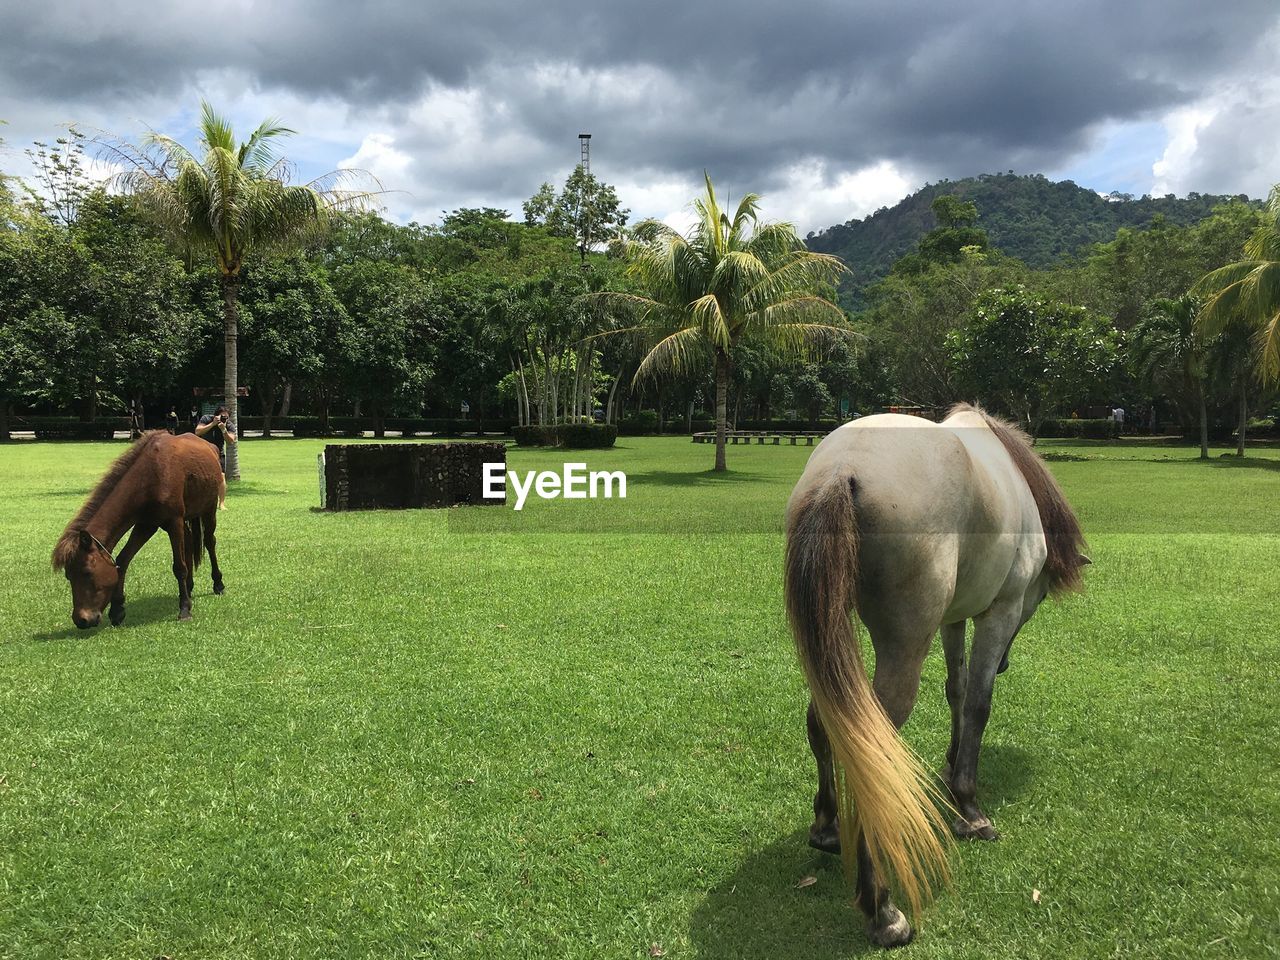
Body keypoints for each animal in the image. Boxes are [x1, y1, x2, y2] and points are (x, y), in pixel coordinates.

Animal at [51, 432, 226, 627]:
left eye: (87, 572)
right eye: (68, 575)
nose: (81, 620)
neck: (150, 476)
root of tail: (210, 446)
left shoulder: (173, 522)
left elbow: (179, 567)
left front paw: (185, 609)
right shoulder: (146, 525)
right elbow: (123, 560)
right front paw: (117, 609)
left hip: (208, 509)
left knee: (209, 542)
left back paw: (218, 584)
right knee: (188, 542)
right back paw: (188, 586)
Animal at [783, 404, 1085, 947]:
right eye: (1042, 596)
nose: (1007, 661)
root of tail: (843, 467)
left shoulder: (953, 618)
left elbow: (957, 689)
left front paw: (950, 763)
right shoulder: (1000, 612)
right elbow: (979, 702)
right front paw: (968, 807)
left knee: (824, 722)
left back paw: (827, 829)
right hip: (905, 645)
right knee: (871, 745)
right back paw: (883, 910)